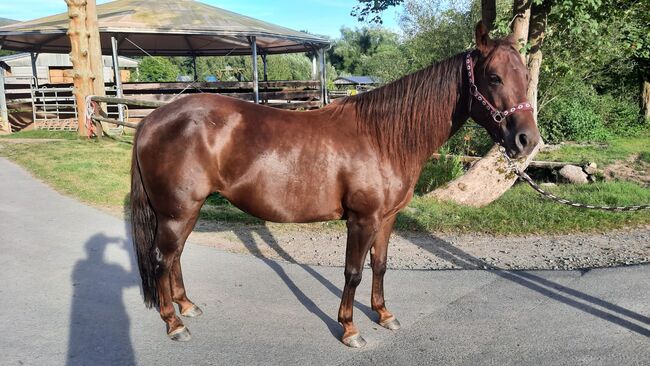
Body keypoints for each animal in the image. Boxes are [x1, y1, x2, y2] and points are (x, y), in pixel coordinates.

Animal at [130, 21, 536, 348]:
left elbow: (380, 265)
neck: (382, 137)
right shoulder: (362, 219)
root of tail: (152, 120)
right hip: (176, 212)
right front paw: (350, 329)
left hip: (187, 211)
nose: (527, 140)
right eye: (494, 77)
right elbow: (353, 273)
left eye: (526, 77)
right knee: (161, 258)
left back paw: (187, 307)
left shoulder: (387, 218)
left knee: (175, 256)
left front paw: (384, 315)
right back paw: (174, 323)